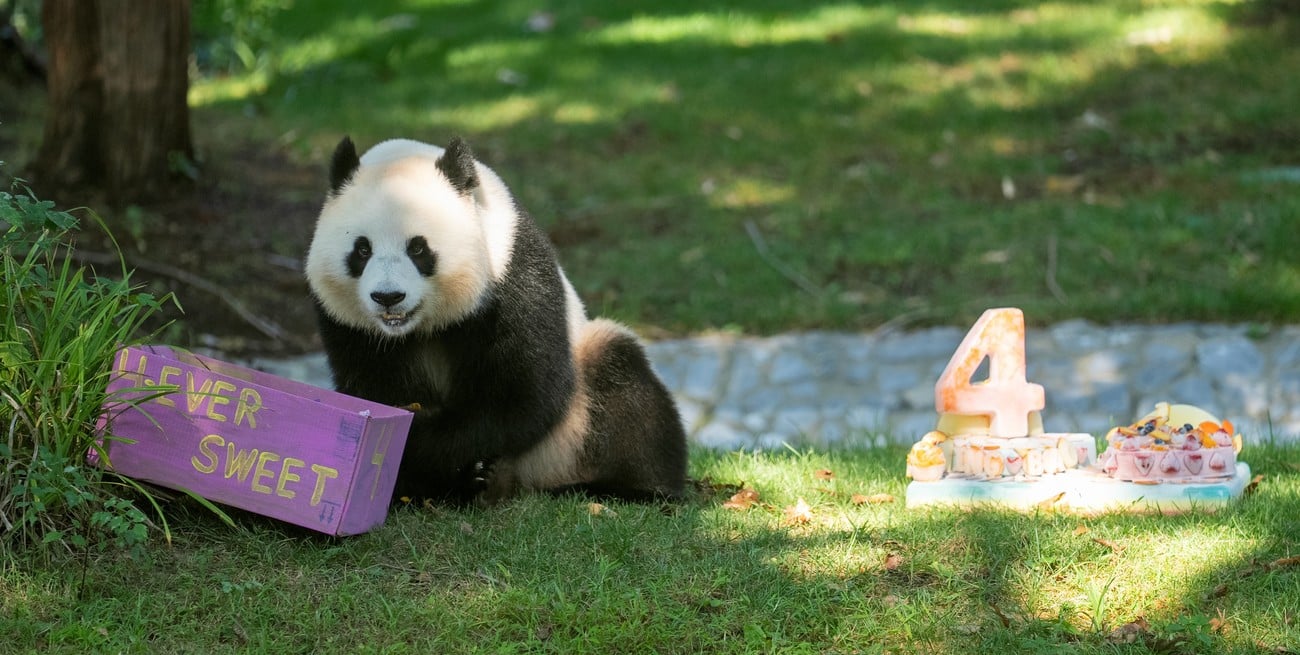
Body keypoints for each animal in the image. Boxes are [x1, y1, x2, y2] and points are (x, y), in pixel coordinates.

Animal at [304, 136, 688, 505]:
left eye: (418, 248)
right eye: (362, 249)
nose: (388, 297)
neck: (422, 325)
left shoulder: (510, 271)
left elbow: (523, 395)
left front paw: (416, 445)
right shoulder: (348, 325)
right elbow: (376, 388)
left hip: (570, 427)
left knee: (625, 383)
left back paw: (630, 489)